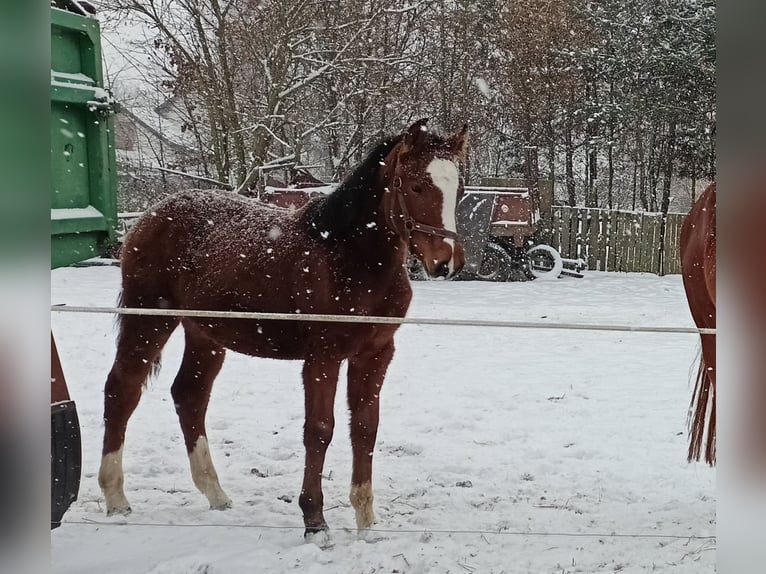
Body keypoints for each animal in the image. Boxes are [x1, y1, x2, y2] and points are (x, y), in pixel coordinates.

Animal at [96, 119, 468, 544]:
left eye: (458, 189)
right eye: (416, 185)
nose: (447, 262)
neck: (349, 258)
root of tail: (149, 216)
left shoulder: (375, 354)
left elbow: (365, 428)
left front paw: (366, 523)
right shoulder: (322, 357)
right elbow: (320, 430)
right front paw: (315, 522)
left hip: (204, 334)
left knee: (189, 395)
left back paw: (216, 493)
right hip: (149, 320)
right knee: (122, 389)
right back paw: (116, 497)